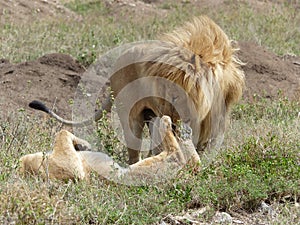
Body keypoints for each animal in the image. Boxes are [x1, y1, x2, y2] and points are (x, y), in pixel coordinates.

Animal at [19, 116, 200, 183]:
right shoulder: (74, 169)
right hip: (167, 160)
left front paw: (82, 145)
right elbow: (63, 132)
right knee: (182, 153)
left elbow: (63, 132)